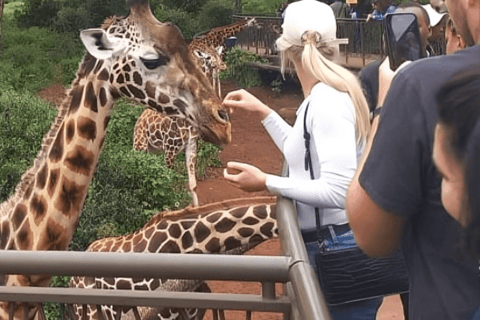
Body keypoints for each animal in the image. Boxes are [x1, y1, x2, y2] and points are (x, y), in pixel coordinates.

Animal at [131, 19, 255, 208]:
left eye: (219, 55)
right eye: (208, 57)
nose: (223, 65)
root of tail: (139, 120)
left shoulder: (190, 145)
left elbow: (193, 183)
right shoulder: (170, 148)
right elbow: (168, 182)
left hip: (153, 148)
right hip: (141, 144)